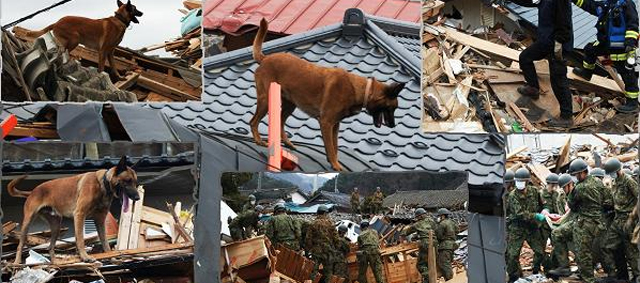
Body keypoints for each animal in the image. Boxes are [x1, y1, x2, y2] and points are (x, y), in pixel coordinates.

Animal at [8, 156, 140, 266]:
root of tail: (32, 192)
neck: (103, 184)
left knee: (50, 247)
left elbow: (105, 242)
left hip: (56, 225)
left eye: (135, 182)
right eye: (128, 180)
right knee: (20, 245)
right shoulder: (79, 215)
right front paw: (85, 257)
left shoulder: (100, 220)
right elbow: (80, 239)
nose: (138, 198)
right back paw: (16, 262)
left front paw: (111, 257)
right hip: (28, 223)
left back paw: (55, 262)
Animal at [251, 19, 404, 171]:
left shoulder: (335, 125)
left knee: (280, 122)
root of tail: (265, 58)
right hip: (266, 100)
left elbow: (335, 146)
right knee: (253, 121)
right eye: (392, 108)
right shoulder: (326, 122)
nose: (393, 125)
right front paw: (336, 165)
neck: (361, 90)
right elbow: (330, 147)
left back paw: (287, 143)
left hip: (290, 105)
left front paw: (335, 163)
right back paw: (259, 141)